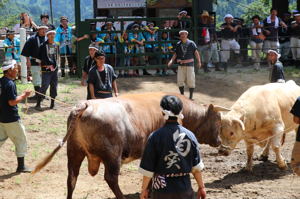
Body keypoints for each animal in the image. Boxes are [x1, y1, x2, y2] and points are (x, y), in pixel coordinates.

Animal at [32, 92, 227, 198]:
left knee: (71, 178)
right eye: (218, 121)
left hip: (74, 152)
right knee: (111, 178)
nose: (219, 141)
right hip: (112, 155)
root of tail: (85, 105)